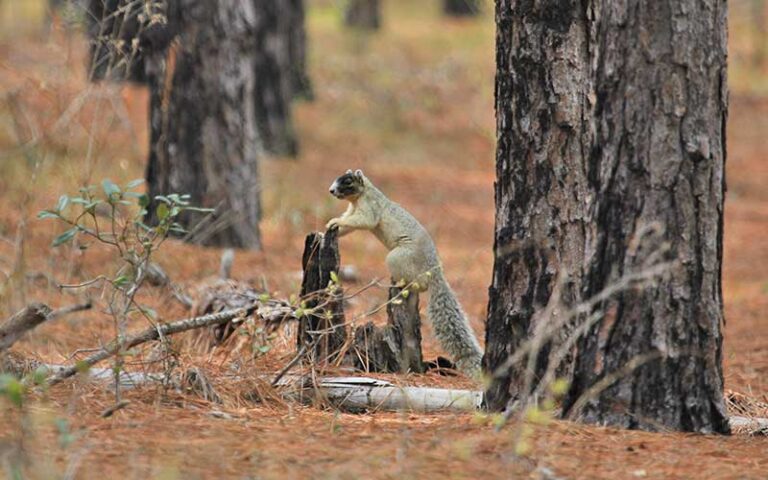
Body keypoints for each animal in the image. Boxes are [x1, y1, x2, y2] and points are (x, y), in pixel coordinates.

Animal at [328, 169, 484, 376]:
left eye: (347, 181)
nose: (331, 191)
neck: (362, 195)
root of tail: (434, 271)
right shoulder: (352, 210)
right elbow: (348, 224)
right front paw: (331, 226)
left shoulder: (370, 207)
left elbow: (364, 220)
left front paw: (334, 220)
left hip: (399, 258)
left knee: (419, 284)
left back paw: (404, 283)